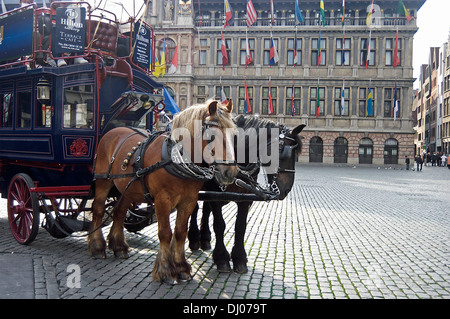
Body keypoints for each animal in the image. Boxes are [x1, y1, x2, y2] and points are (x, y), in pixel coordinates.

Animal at [85, 100, 237, 284]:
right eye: (212, 135)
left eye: (234, 135)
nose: (230, 172)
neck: (177, 159)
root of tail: (113, 130)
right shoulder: (162, 200)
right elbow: (165, 233)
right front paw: (166, 270)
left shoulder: (189, 201)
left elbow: (180, 233)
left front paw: (181, 267)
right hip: (103, 181)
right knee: (98, 209)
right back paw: (97, 247)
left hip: (127, 188)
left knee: (119, 212)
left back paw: (119, 246)